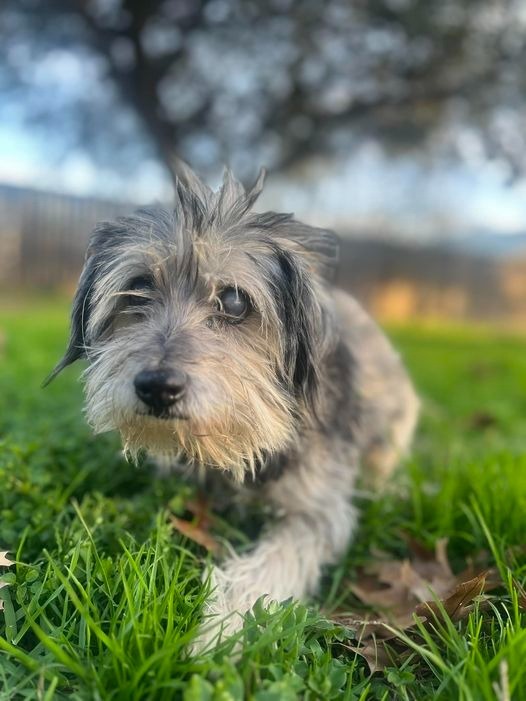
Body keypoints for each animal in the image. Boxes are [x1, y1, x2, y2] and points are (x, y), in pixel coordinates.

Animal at [47, 164, 418, 652]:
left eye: (235, 301)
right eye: (137, 290)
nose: (156, 388)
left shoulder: (318, 509)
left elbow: (275, 560)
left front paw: (217, 629)